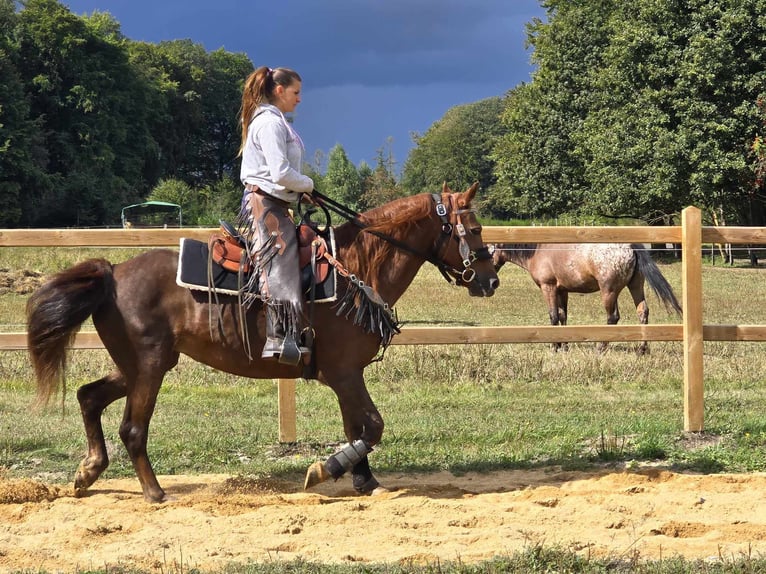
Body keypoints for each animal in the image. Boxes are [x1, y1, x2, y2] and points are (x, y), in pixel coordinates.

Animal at [27, 182, 500, 502]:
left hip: (137, 365)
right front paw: (324, 469)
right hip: (149, 367)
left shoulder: (346, 375)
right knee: (132, 428)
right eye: (474, 228)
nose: (491, 279)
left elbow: (357, 426)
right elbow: (372, 425)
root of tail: (113, 272)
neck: (356, 266)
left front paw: (364, 479)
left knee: (89, 396)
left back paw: (88, 472)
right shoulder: (344, 372)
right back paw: (155, 491)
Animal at [492, 244, 684, 356]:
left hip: (609, 291)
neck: (537, 253)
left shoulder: (549, 288)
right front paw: (564, 346)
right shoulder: (562, 291)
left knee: (613, 317)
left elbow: (553, 316)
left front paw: (554, 347)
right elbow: (563, 316)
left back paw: (601, 348)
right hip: (635, 286)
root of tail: (630, 248)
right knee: (642, 312)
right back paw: (642, 349)